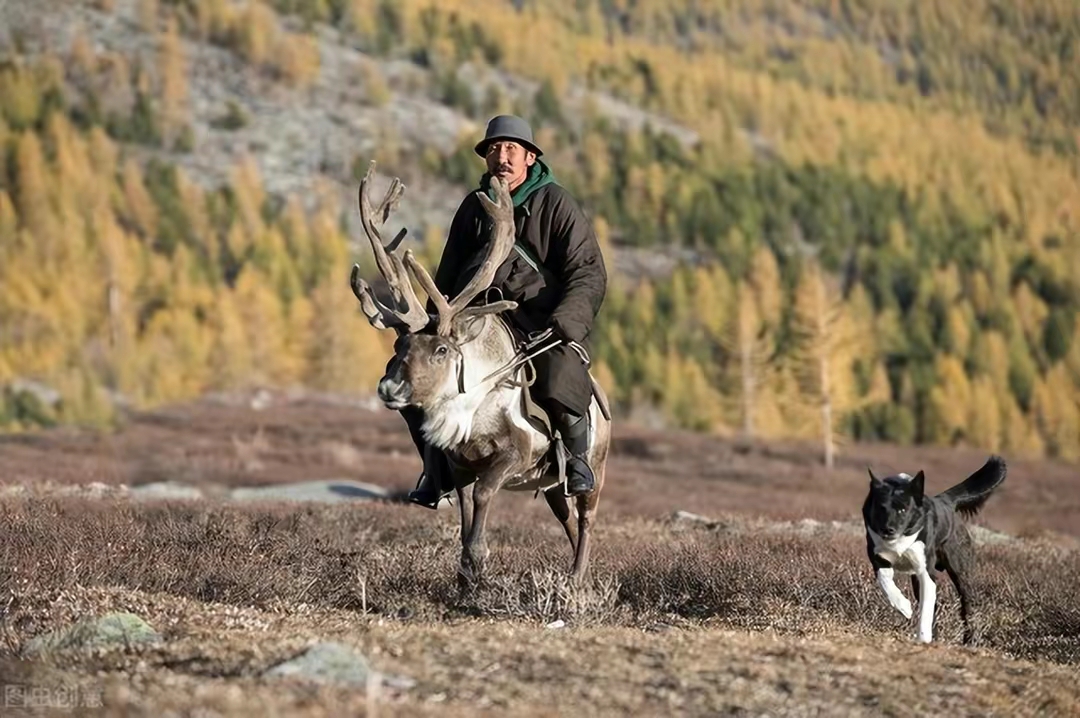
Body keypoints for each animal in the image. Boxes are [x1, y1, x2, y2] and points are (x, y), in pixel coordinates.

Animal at [864, 453, 1006, 643]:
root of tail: (945, 501)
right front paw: (904, 607)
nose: (888, 530)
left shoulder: (926, 572)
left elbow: (926, 610)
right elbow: (886, 582)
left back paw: (969, 641)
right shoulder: (878, 560)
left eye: (903, 509)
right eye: (881, 508)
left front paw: (923, 638)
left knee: (968, 608)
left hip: (961, 574)